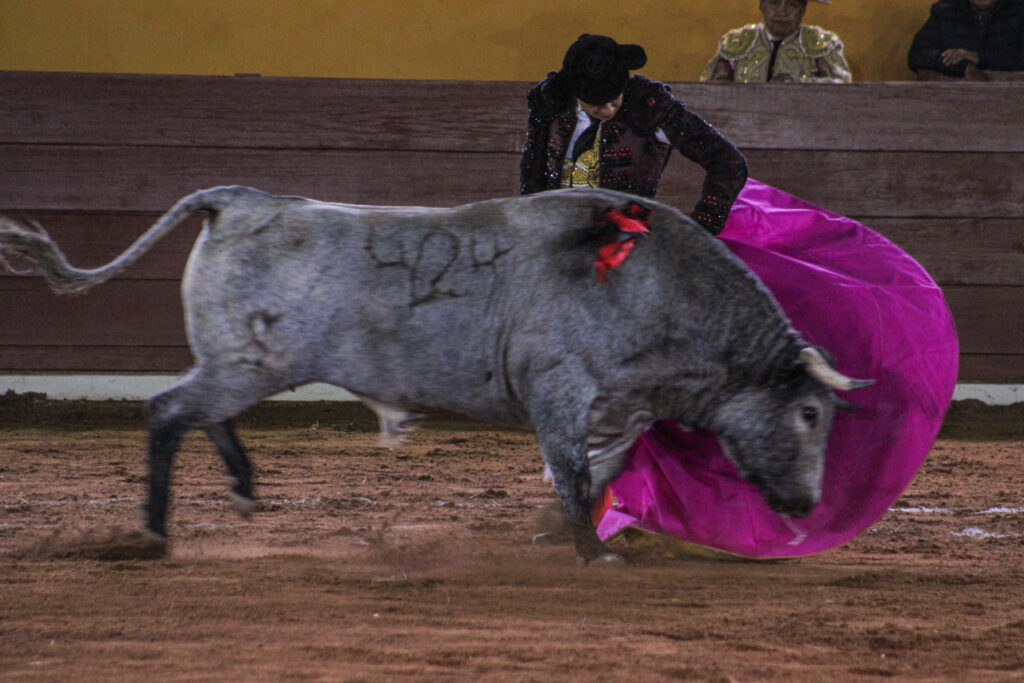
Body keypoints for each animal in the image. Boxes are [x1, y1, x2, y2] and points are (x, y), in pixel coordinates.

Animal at [0, 188, 872, 565]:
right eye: (810, 415)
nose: (807, 503)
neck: (654, 286)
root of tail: (238, 200)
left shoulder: (619, 408)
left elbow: (601, 471)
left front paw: (564, 531)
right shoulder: (560, 390)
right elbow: (573, 472)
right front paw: (590, 552)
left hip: (241, 364)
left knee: (200, 412)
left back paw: (243, 490)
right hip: (246, 365)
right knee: (166, 410)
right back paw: (152, 530)